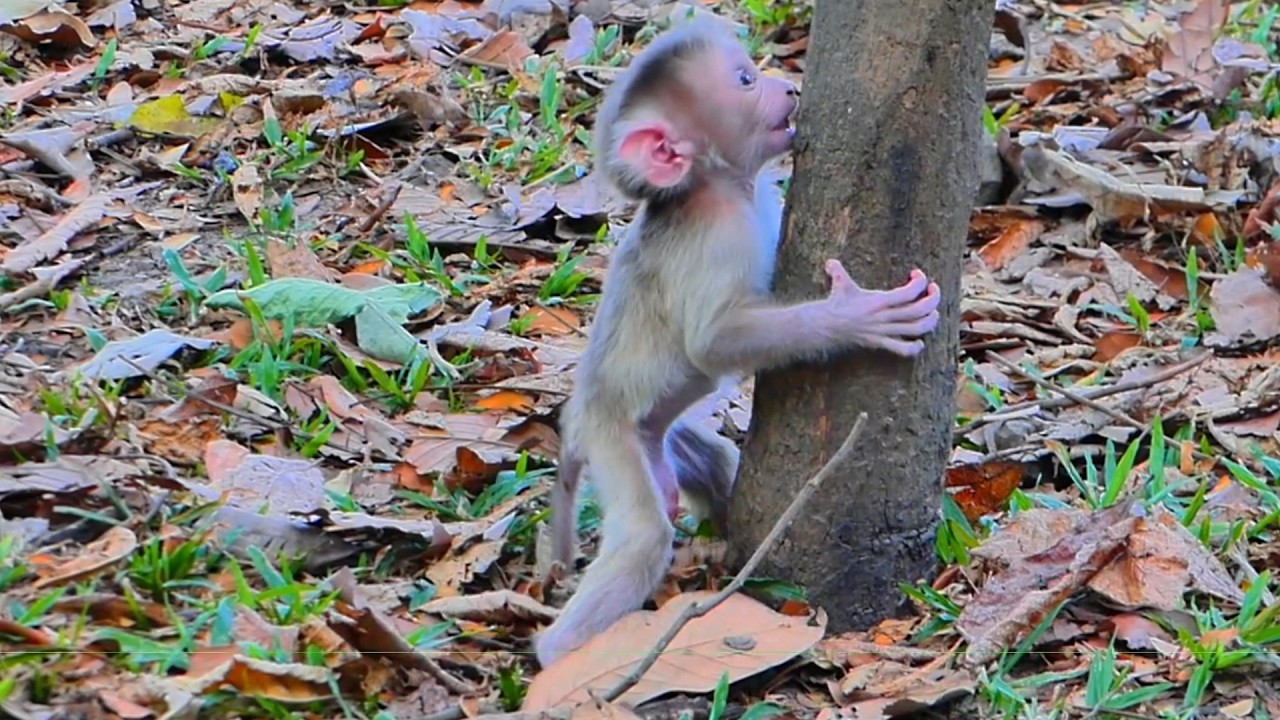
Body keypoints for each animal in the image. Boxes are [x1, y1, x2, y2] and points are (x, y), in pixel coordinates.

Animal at [534, 14, 942, 668]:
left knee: (709, 461)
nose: (788, 86)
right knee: (644, 536)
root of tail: (576, 420)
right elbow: (712, 343)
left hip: (654, 439)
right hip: (609, 436)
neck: (722, 185)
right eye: (746, 81)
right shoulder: (714, 235)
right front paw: (856, 316)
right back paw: (559, 658)